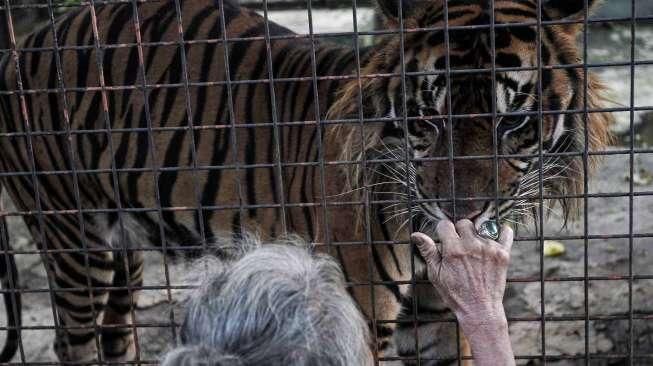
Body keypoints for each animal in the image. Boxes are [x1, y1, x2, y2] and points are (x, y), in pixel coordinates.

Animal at [0, 0, 612, 362]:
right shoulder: (358, 307)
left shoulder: (438, 314)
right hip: (73, 240)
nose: (460, 214)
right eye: (428, 121)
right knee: (73, 338)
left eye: (513, 123)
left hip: (124, 252)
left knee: (115, 332)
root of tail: (31, 40)